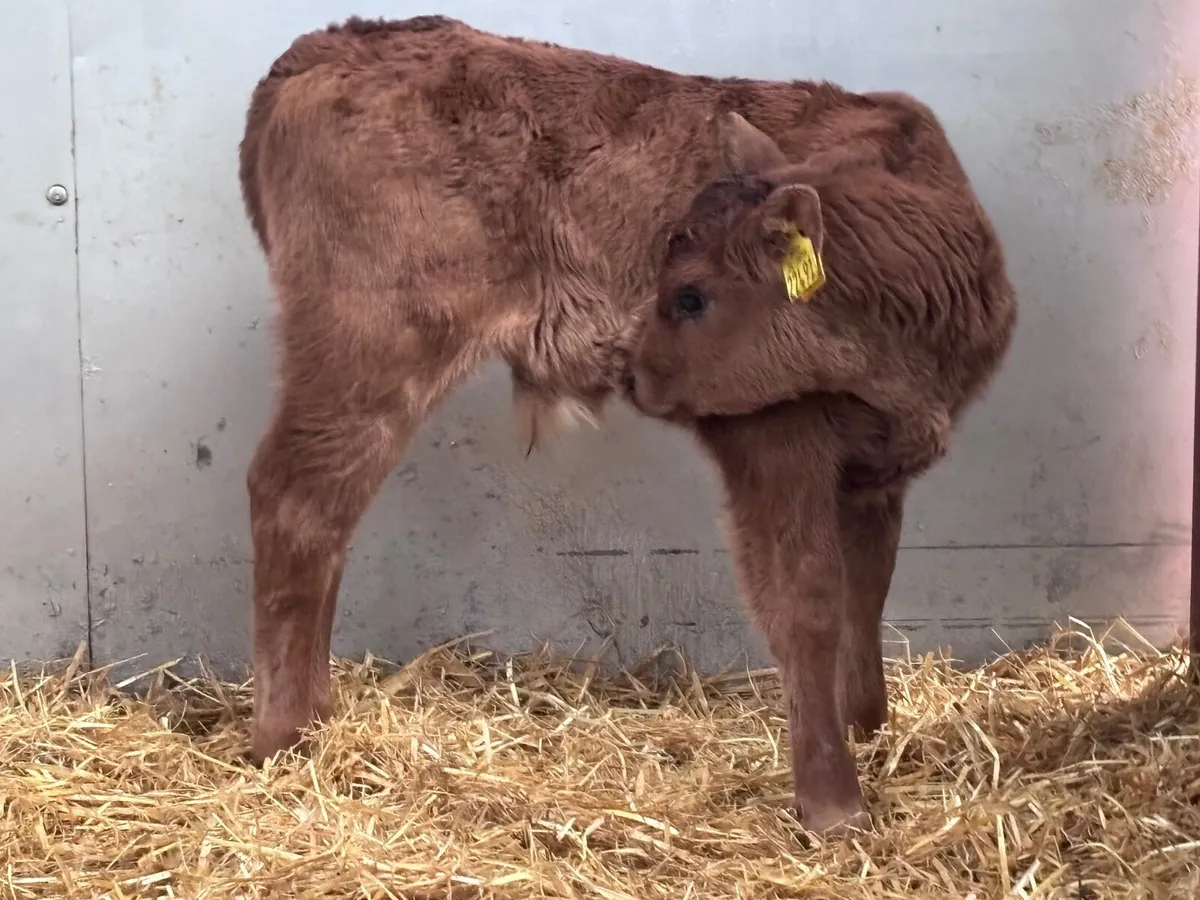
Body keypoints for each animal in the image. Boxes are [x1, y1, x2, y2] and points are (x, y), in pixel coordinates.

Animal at [237, 14, 1017, 836]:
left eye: (692, 297)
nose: (636, 372)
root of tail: (331, 44)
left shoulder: (880, 465)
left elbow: (869, 589)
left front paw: (869, 728)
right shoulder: (775, 441)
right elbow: (806, 601)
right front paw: (834, 801)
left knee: (328, 522)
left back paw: (318, 717)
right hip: (371, 349)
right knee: (297, 501)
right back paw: (288, 737)